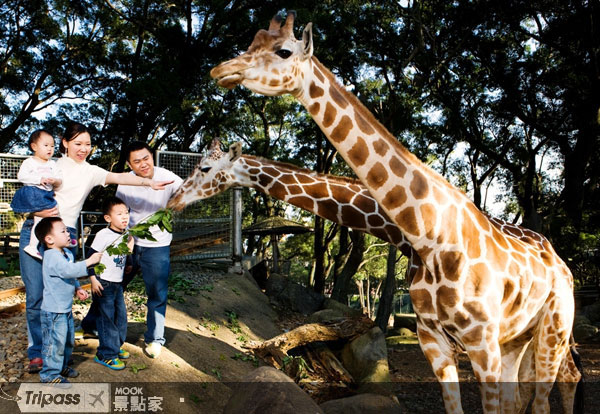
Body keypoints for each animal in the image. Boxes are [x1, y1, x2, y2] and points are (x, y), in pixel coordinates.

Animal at [211, 12, 580, 414]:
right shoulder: (432, 336)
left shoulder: (482, 341)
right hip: (518, 338)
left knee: (556, 386)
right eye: (252, 41)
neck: (427, 234)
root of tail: (562, 265)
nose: (220, 70)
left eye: (283, 51)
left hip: (554, 328)